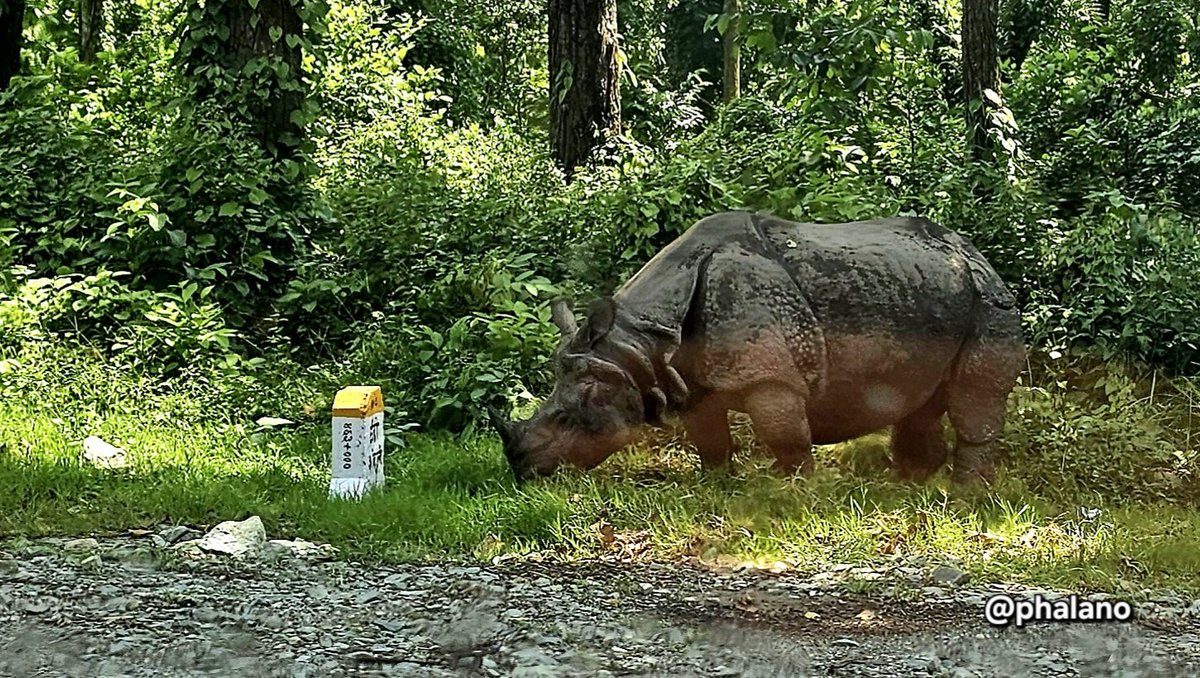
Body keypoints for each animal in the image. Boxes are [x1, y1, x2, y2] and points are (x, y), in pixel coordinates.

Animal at [489, 210, 1025, 485]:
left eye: (568, 416)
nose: (522, 472)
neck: (639, 341)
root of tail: (974, 251)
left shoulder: (771, 376)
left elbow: (786, 436)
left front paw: (794, 494)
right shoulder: (688, 377)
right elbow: (710, 439)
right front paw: (717, 487)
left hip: (986, 298)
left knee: (974, 398)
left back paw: (962, 496)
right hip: (930, 292)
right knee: (921, 403)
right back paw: (907, 485)